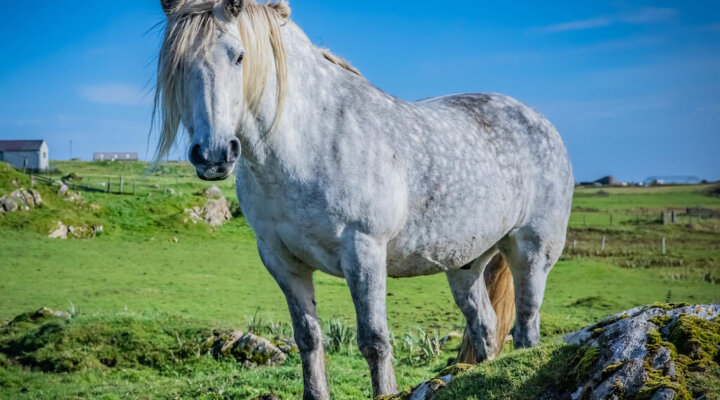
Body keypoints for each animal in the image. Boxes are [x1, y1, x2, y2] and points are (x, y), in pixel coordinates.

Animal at [153, 0, 574, 398]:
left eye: (239, 56)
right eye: (178, 64)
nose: (213, 155)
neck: (309, 141)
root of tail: (542, 123)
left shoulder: (364, 251)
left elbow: (374, 341)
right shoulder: (282, 261)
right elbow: (308, 338)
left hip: (531, 252)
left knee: (526, 329)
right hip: (466, 263)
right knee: (485, 327)